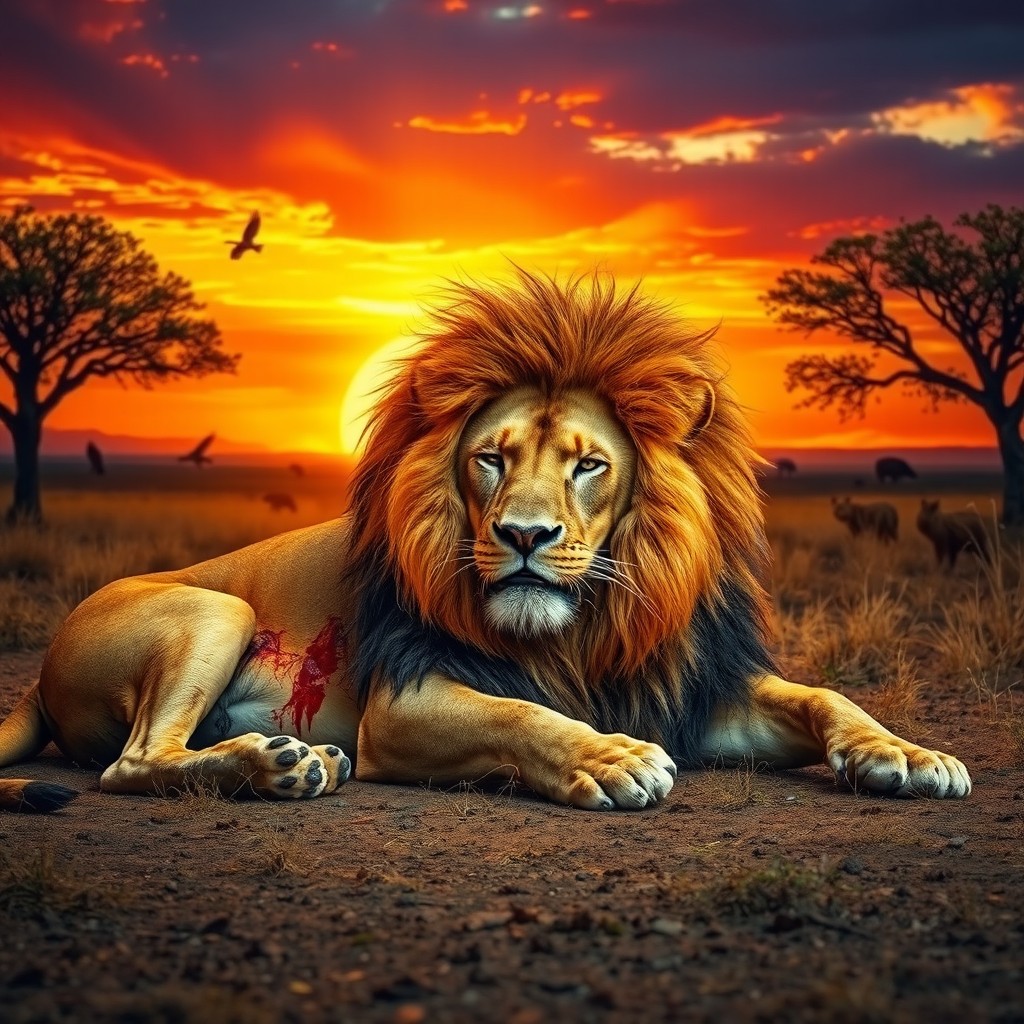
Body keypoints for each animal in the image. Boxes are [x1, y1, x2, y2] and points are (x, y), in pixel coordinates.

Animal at [0, 270, 970, 813]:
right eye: (490, 460)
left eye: (588, 466)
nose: (525, 535)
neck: (588, 628)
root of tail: (41, 673)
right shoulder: (404, 704)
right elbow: (523, 714)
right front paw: (612, 756)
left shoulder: (690, 690)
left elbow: (826, 696)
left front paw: (906, 754)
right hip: (216, 607)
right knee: (130, 766)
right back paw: (281, 766)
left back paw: (294, 764)